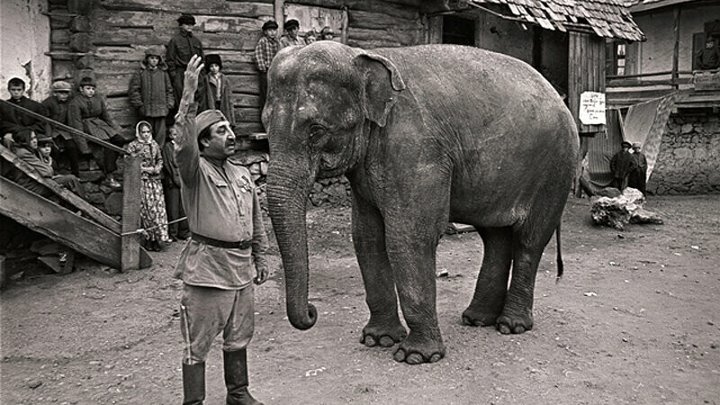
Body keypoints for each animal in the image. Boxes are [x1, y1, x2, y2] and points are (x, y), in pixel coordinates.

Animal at [264, 42, 579, 365]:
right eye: (264, 124)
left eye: (316, 130)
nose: (312, 313)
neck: (366, 56)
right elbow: (366, 236)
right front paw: (377, 339)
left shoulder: (417, 150)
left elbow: (408, 237)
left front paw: (415, 356)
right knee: (495, 237)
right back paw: (477, 319)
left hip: (555, 169)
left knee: (529, 240)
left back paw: (511, 326)